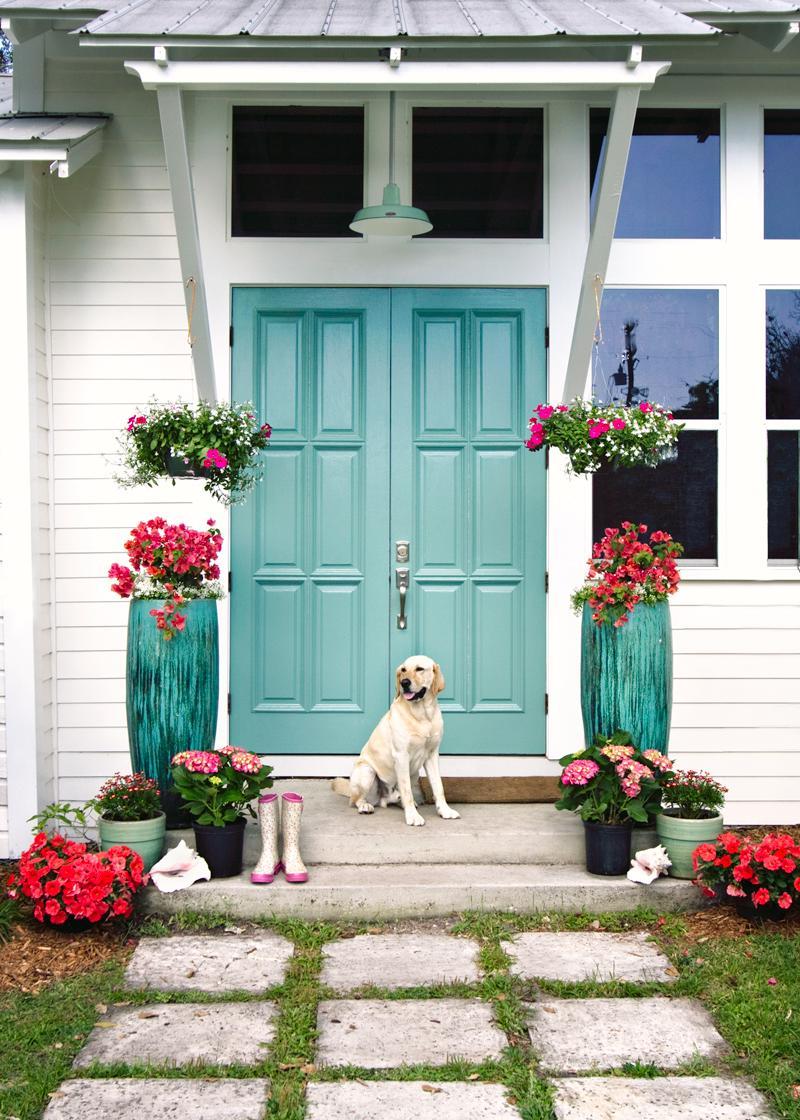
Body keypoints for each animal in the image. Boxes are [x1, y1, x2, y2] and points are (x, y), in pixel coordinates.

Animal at [329, 654, 454, 828]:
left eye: (420, 669)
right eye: (403, 670)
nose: (404, 683)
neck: (422, 715)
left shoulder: (432, 755)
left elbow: (438, 787)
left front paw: (445, 810)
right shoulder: (401, 756)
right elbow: (407, 791)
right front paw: (413, 817)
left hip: (414, 773)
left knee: (398, 795)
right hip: (367, 772)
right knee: (355, 800)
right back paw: (365, 806)